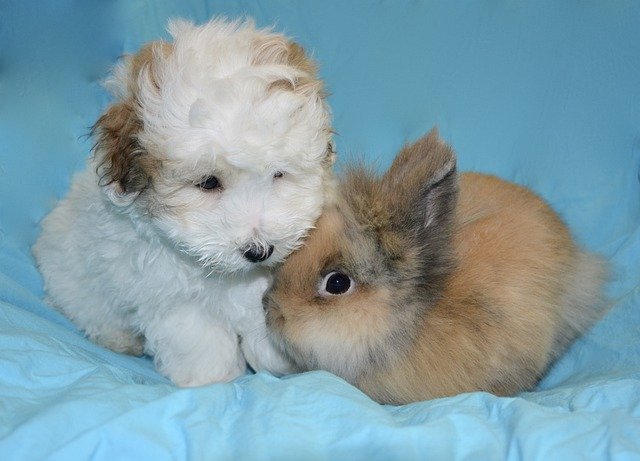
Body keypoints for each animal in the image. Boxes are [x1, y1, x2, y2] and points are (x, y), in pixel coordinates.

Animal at [31, 18, 336, 384]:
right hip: (75, 282)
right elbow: (199, 338)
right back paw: (119, 339)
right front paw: (213, 379)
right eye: (208, 182)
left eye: (278, 174)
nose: (259, 251)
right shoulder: (170, 296)